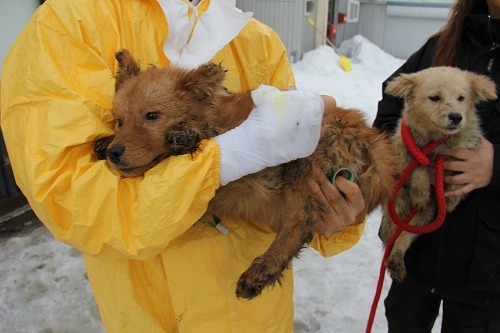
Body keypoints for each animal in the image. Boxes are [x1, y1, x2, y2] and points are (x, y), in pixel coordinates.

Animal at [378, 66, 496, 282]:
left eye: (461, 98)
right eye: (434, 98)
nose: (456, 117)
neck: (438, 143)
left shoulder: (468, 150)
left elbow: (461, 179)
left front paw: (451, 200)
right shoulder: (404, 148)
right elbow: (419, 166)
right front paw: (421, 191)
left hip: (426, 217)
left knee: (404, 237)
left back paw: (396, 260)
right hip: (399, 207)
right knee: (395, 232)